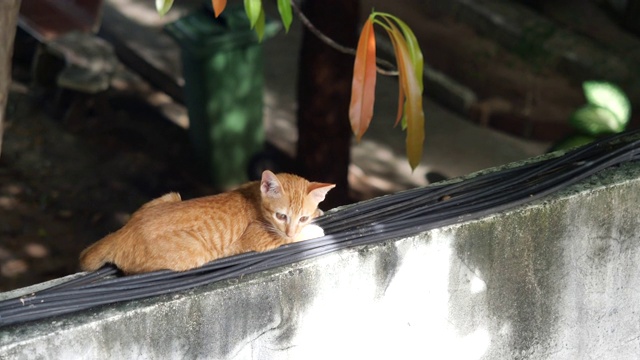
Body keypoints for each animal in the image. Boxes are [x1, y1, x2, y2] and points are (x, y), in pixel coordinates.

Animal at [80, 171, 336, 272]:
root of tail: (124, 231)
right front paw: (314, 230)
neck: (255, 196)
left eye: (302, 217)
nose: (291, 230)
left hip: (172, 196)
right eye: (281, 216)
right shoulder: (258, 239)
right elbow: (289, 238)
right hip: (193, 252)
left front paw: (317, 213)